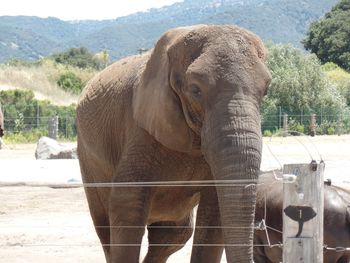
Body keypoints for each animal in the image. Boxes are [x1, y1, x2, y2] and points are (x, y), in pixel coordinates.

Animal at [76, 24, 270, 263]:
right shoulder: (141, 127)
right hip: (88, 160)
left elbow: (215, 210)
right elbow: (128, 204)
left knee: (174, 234)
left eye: (266, 91)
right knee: (106, 230)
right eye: (195, 90)